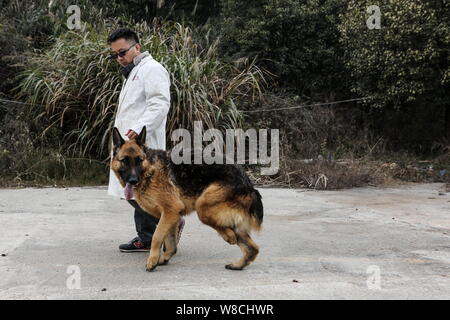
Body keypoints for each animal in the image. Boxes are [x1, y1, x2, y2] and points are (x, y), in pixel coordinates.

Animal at [110, 126, 262, 272]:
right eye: (124, 160)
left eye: (139, 160)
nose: (133, 180)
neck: (150, 170)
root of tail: (248, 182)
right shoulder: (170, 215)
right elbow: (170, 243)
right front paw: (163, 258)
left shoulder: (170, 211)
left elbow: (157, 236)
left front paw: (152, 260)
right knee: (253, 248)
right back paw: (238, 264)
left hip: (203, 208)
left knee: (230, 233)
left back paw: (229, 237)